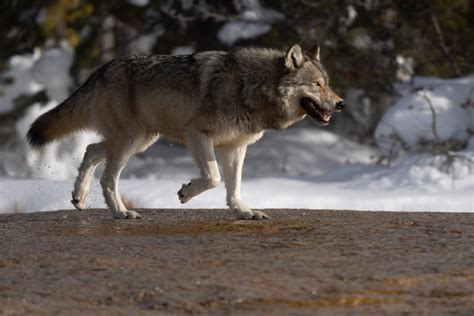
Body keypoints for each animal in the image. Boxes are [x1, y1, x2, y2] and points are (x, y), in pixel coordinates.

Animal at [26, 43, 344, 220]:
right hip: (131, 141)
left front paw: (243, 212)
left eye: (327, 83)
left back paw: (79, 198)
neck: (249, 87)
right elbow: (213, 178)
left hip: (138, 140)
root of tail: (102, 69)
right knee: (107, 178)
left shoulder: (236, 147)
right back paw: (120, 213)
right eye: (316, 84)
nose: (341, 104)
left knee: (91, 150)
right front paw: (185, 193)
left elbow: (234, 187)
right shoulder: (197, 135)